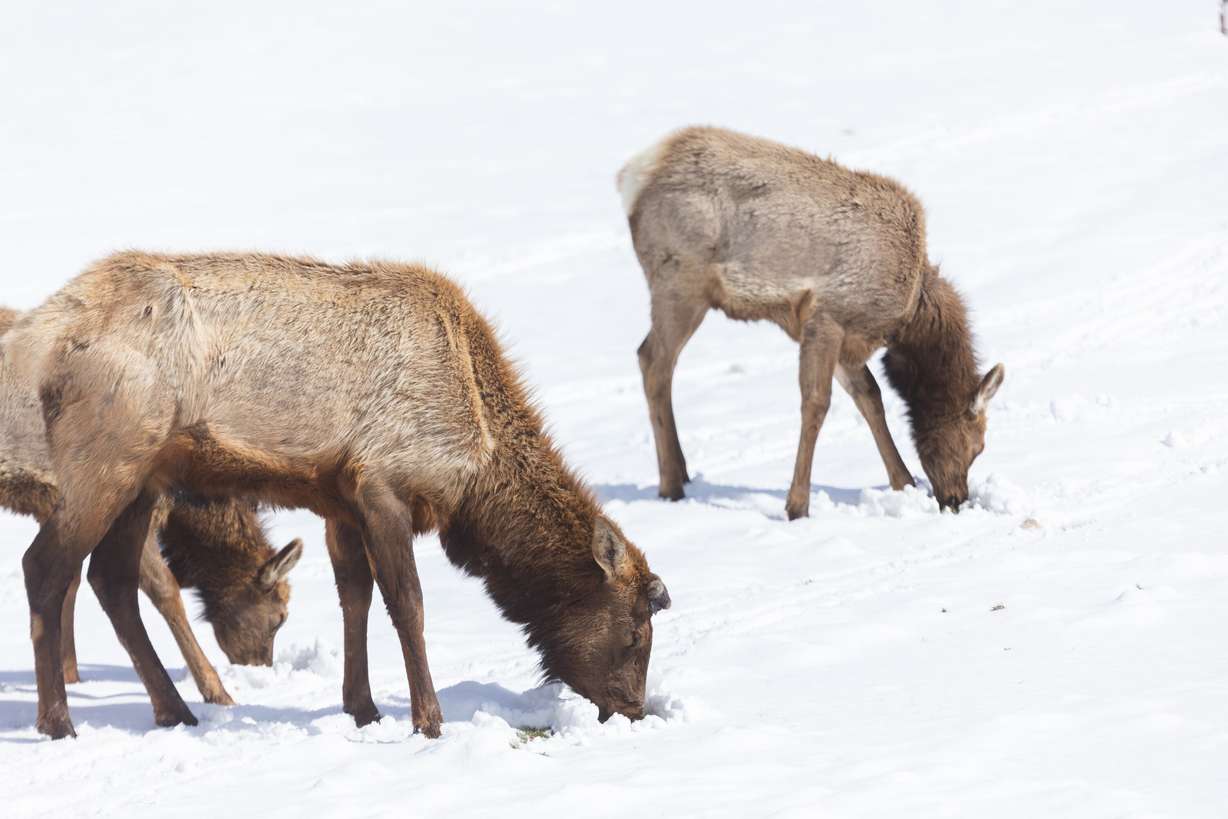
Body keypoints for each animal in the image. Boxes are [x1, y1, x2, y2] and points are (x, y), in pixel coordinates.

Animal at [1, 307, 303, 705]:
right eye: (280, 616)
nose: (260, 666)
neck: (181, 505)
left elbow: (70, 583)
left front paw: (71, 675)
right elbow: (166, 592)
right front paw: (216, 691)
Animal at [618, 126, 1005, 519]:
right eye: (977, 445)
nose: (956, 499)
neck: (908, 316)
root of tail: (634, 176)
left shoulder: (847, 337)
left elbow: (870, 397)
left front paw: (905, 482)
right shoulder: (827, 317)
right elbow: (817, 403)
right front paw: (797, 505)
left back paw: (682, 472)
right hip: (680, 283)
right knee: (653, 360)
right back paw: (671, 485)